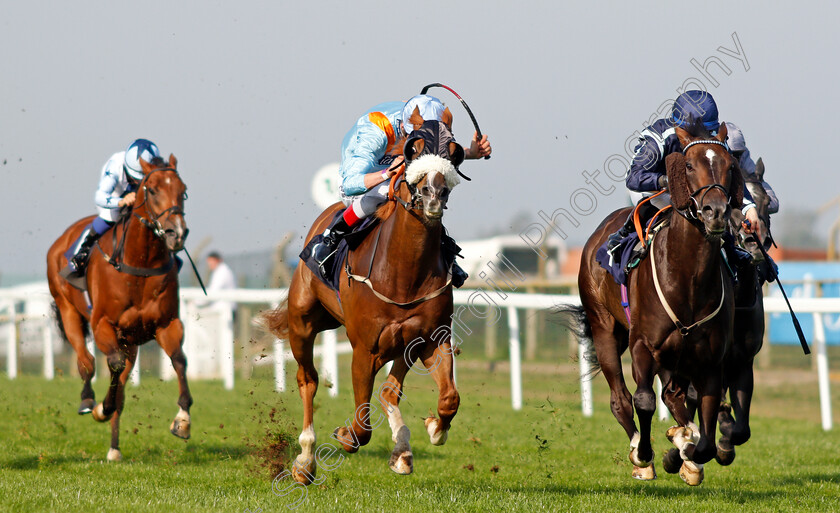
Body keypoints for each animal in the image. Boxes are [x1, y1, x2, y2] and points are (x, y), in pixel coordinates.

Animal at [46, 155, 191, 460]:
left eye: (183, 191)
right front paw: (102, 406)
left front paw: (183, 420)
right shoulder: (103, 324)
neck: (140, 264)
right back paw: (88, 401)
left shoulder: (166, 324)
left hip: (130, 341)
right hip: (68, 310)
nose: (177, 233)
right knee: (86, 362)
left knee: (121, 385)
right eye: (152, 190)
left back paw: (114, 448)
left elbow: (179, 360)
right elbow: (112, 364)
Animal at [260, 108, 462, 484]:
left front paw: (434, 428)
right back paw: (305, 461)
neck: (403, 274)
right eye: (414, 151)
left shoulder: (432, 338)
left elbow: (448, 399)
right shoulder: (365, 349)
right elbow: (361, 427)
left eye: (452, 152)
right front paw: (343, 436)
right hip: (302, 323)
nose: (434, 193)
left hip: (402, 345)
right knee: (308, 380)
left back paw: (401, 450)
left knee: (389, 390)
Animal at [560, 119, 740, 484]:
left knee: (674, 396)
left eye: (730, 166)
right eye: (688, 165)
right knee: (620, 398)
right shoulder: (644, 344)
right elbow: (643, 400)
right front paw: (646, 454)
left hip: (677, 356)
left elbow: (706, 436)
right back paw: (638, 450)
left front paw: (686, 454)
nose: (715, 212)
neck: (688, 279)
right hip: (604, 328)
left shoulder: (710, 360)